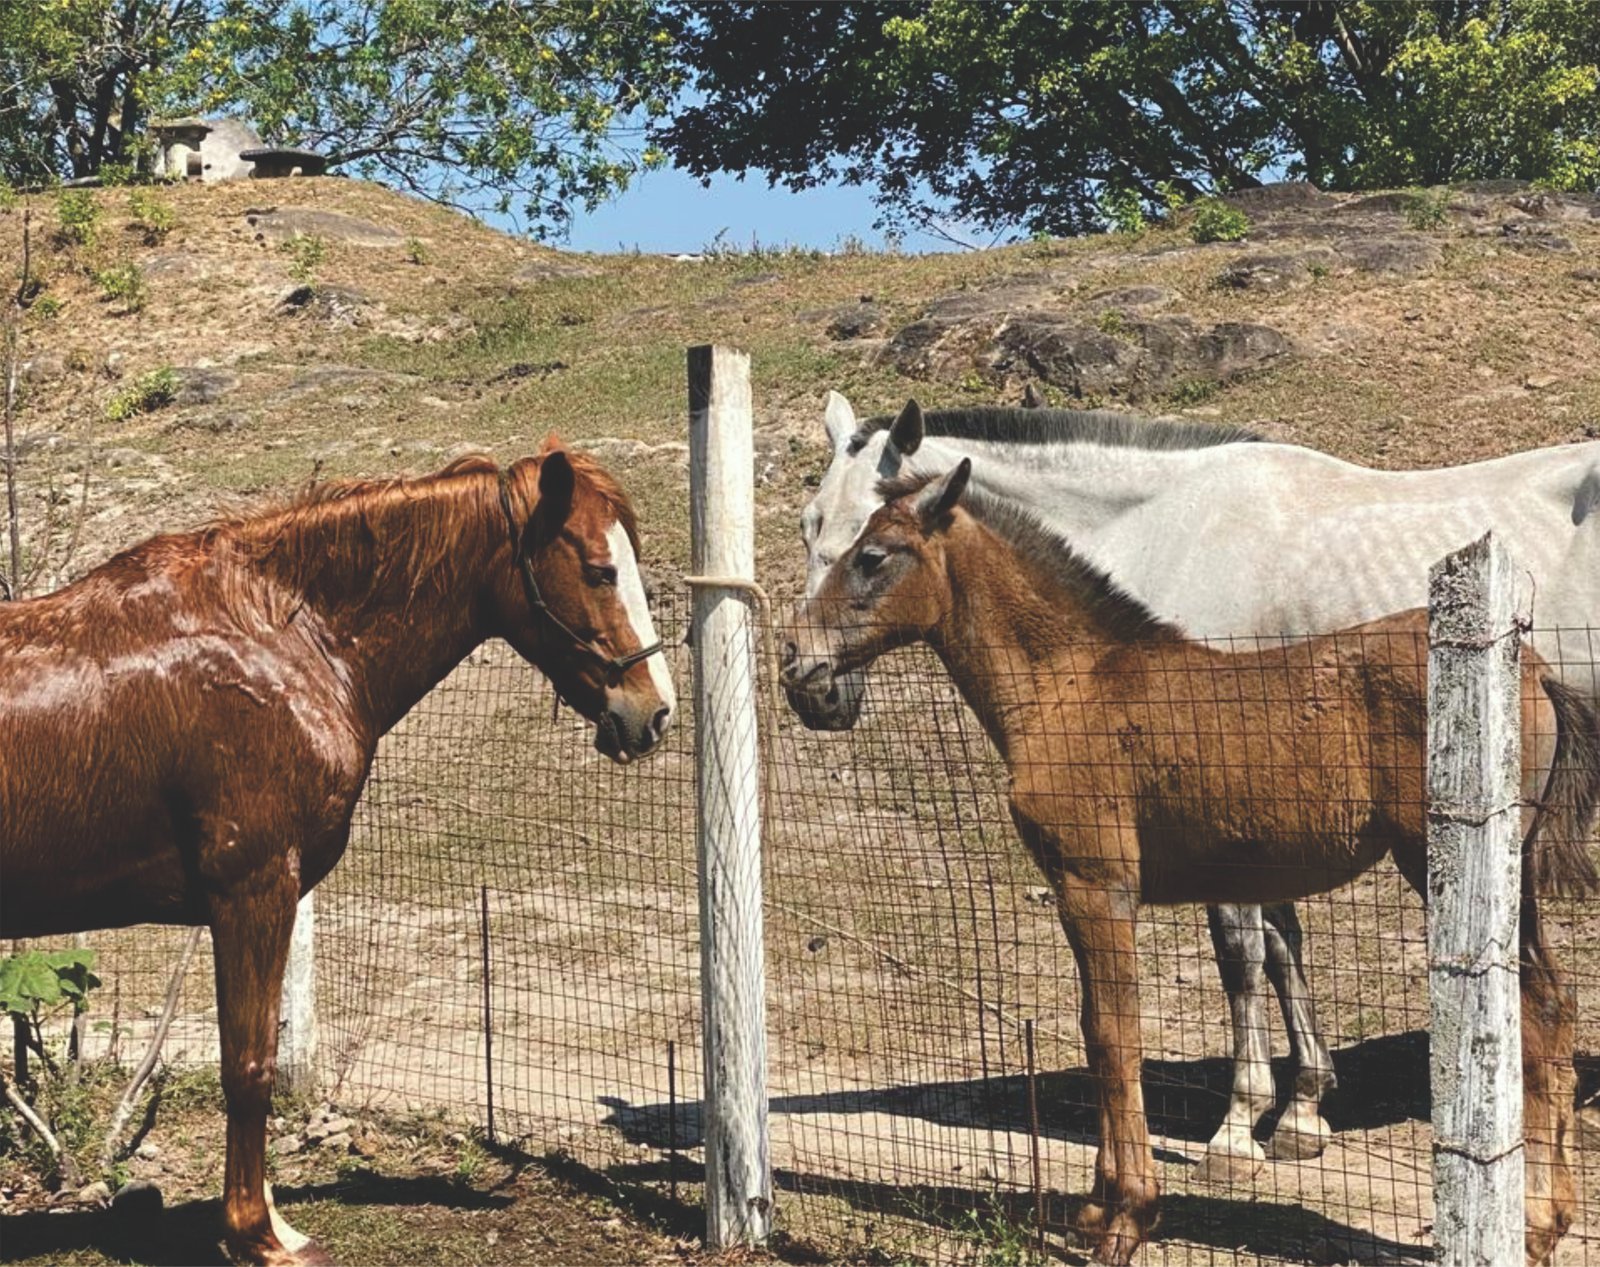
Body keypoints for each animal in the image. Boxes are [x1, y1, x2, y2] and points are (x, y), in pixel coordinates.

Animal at [0, 441, 675, 1266]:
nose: (654, 712)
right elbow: (249, 1064)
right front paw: (259, 1233)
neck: (278, 639)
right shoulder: (254, 888)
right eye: (600, 570)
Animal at [780, 458, 1600, 1267]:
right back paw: (1548, 1220)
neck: (1069, 684)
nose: (798, 664)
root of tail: (1533, 668)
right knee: (1553, 1006)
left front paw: (1127, 1217)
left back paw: (1532, 1225)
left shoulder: (1097, 886)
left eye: (873, 555)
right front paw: (1094, 1207)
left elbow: (1113, 1034)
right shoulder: (1085, 891)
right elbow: (1101, 1030)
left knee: (1534, 1009)